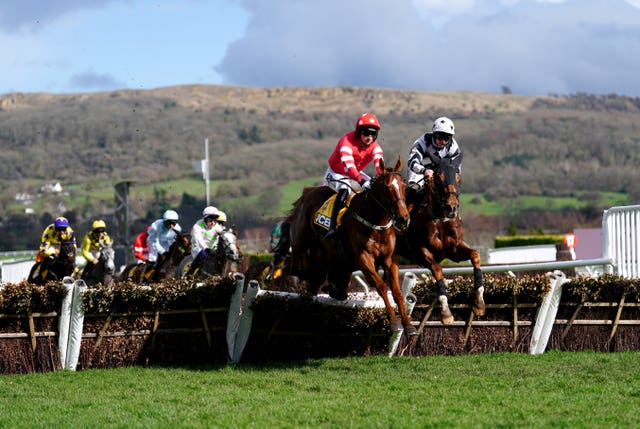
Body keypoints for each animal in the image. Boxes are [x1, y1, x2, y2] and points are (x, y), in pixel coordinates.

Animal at [284, 157, 416, 334]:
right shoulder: (363, 257)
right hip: (301, 240)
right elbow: (381, 285)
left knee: (321, 283)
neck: (376, 223)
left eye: (403, 185)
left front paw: (408, 324)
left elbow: (397, 291)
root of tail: (307, 192)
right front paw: (394, 322)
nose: (403, 219)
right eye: (387, 187)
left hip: (331, 259)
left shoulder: (389, 259)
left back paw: (331, 290)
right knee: (296, 263)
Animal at [398, 156, 482, 320]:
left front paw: (479, 302)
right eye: (438, 178)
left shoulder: (454, 249)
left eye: (458, 176)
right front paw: (446, 312)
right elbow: (437, 270)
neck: (440, 218)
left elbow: (475, 255)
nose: (452, 207)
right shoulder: (422, 252)